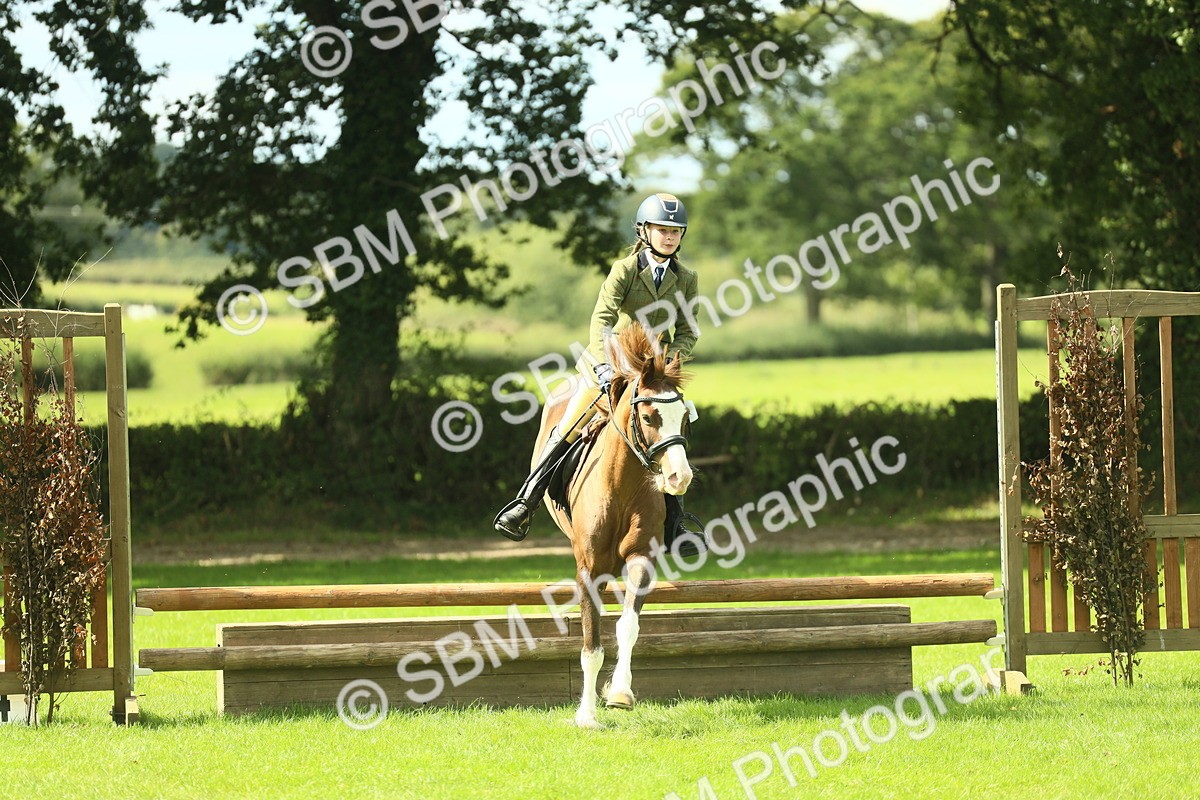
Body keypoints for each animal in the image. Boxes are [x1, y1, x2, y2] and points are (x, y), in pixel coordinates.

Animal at [535, 324, 694, 728]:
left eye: (685, 418)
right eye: (650, 418)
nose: (679, 477)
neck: (622, 484)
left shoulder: (641, 558)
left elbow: (628, 626)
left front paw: (620, 693)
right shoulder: (590, 570)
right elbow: (591, 644)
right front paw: (587, 715)